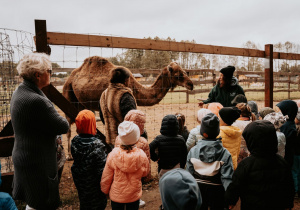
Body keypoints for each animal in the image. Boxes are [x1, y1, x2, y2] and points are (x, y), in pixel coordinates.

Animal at [63, 55, 195, 159]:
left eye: (184, 71)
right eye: (178, 75)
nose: (191, 84)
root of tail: (70, 77)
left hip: (81, 103)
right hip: (68, 93)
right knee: (68, 126)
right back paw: (69, 155)